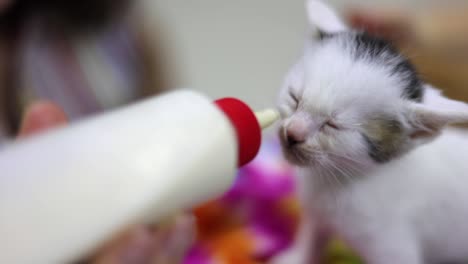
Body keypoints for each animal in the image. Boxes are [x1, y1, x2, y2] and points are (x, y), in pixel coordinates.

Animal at [274, 1, 468, 262]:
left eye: (334, 125)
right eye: (295, 98)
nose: (293, 134)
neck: (337, 179)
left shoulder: (394, 249)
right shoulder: (318, 214)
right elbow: (312, 236)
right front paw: (296, 256)